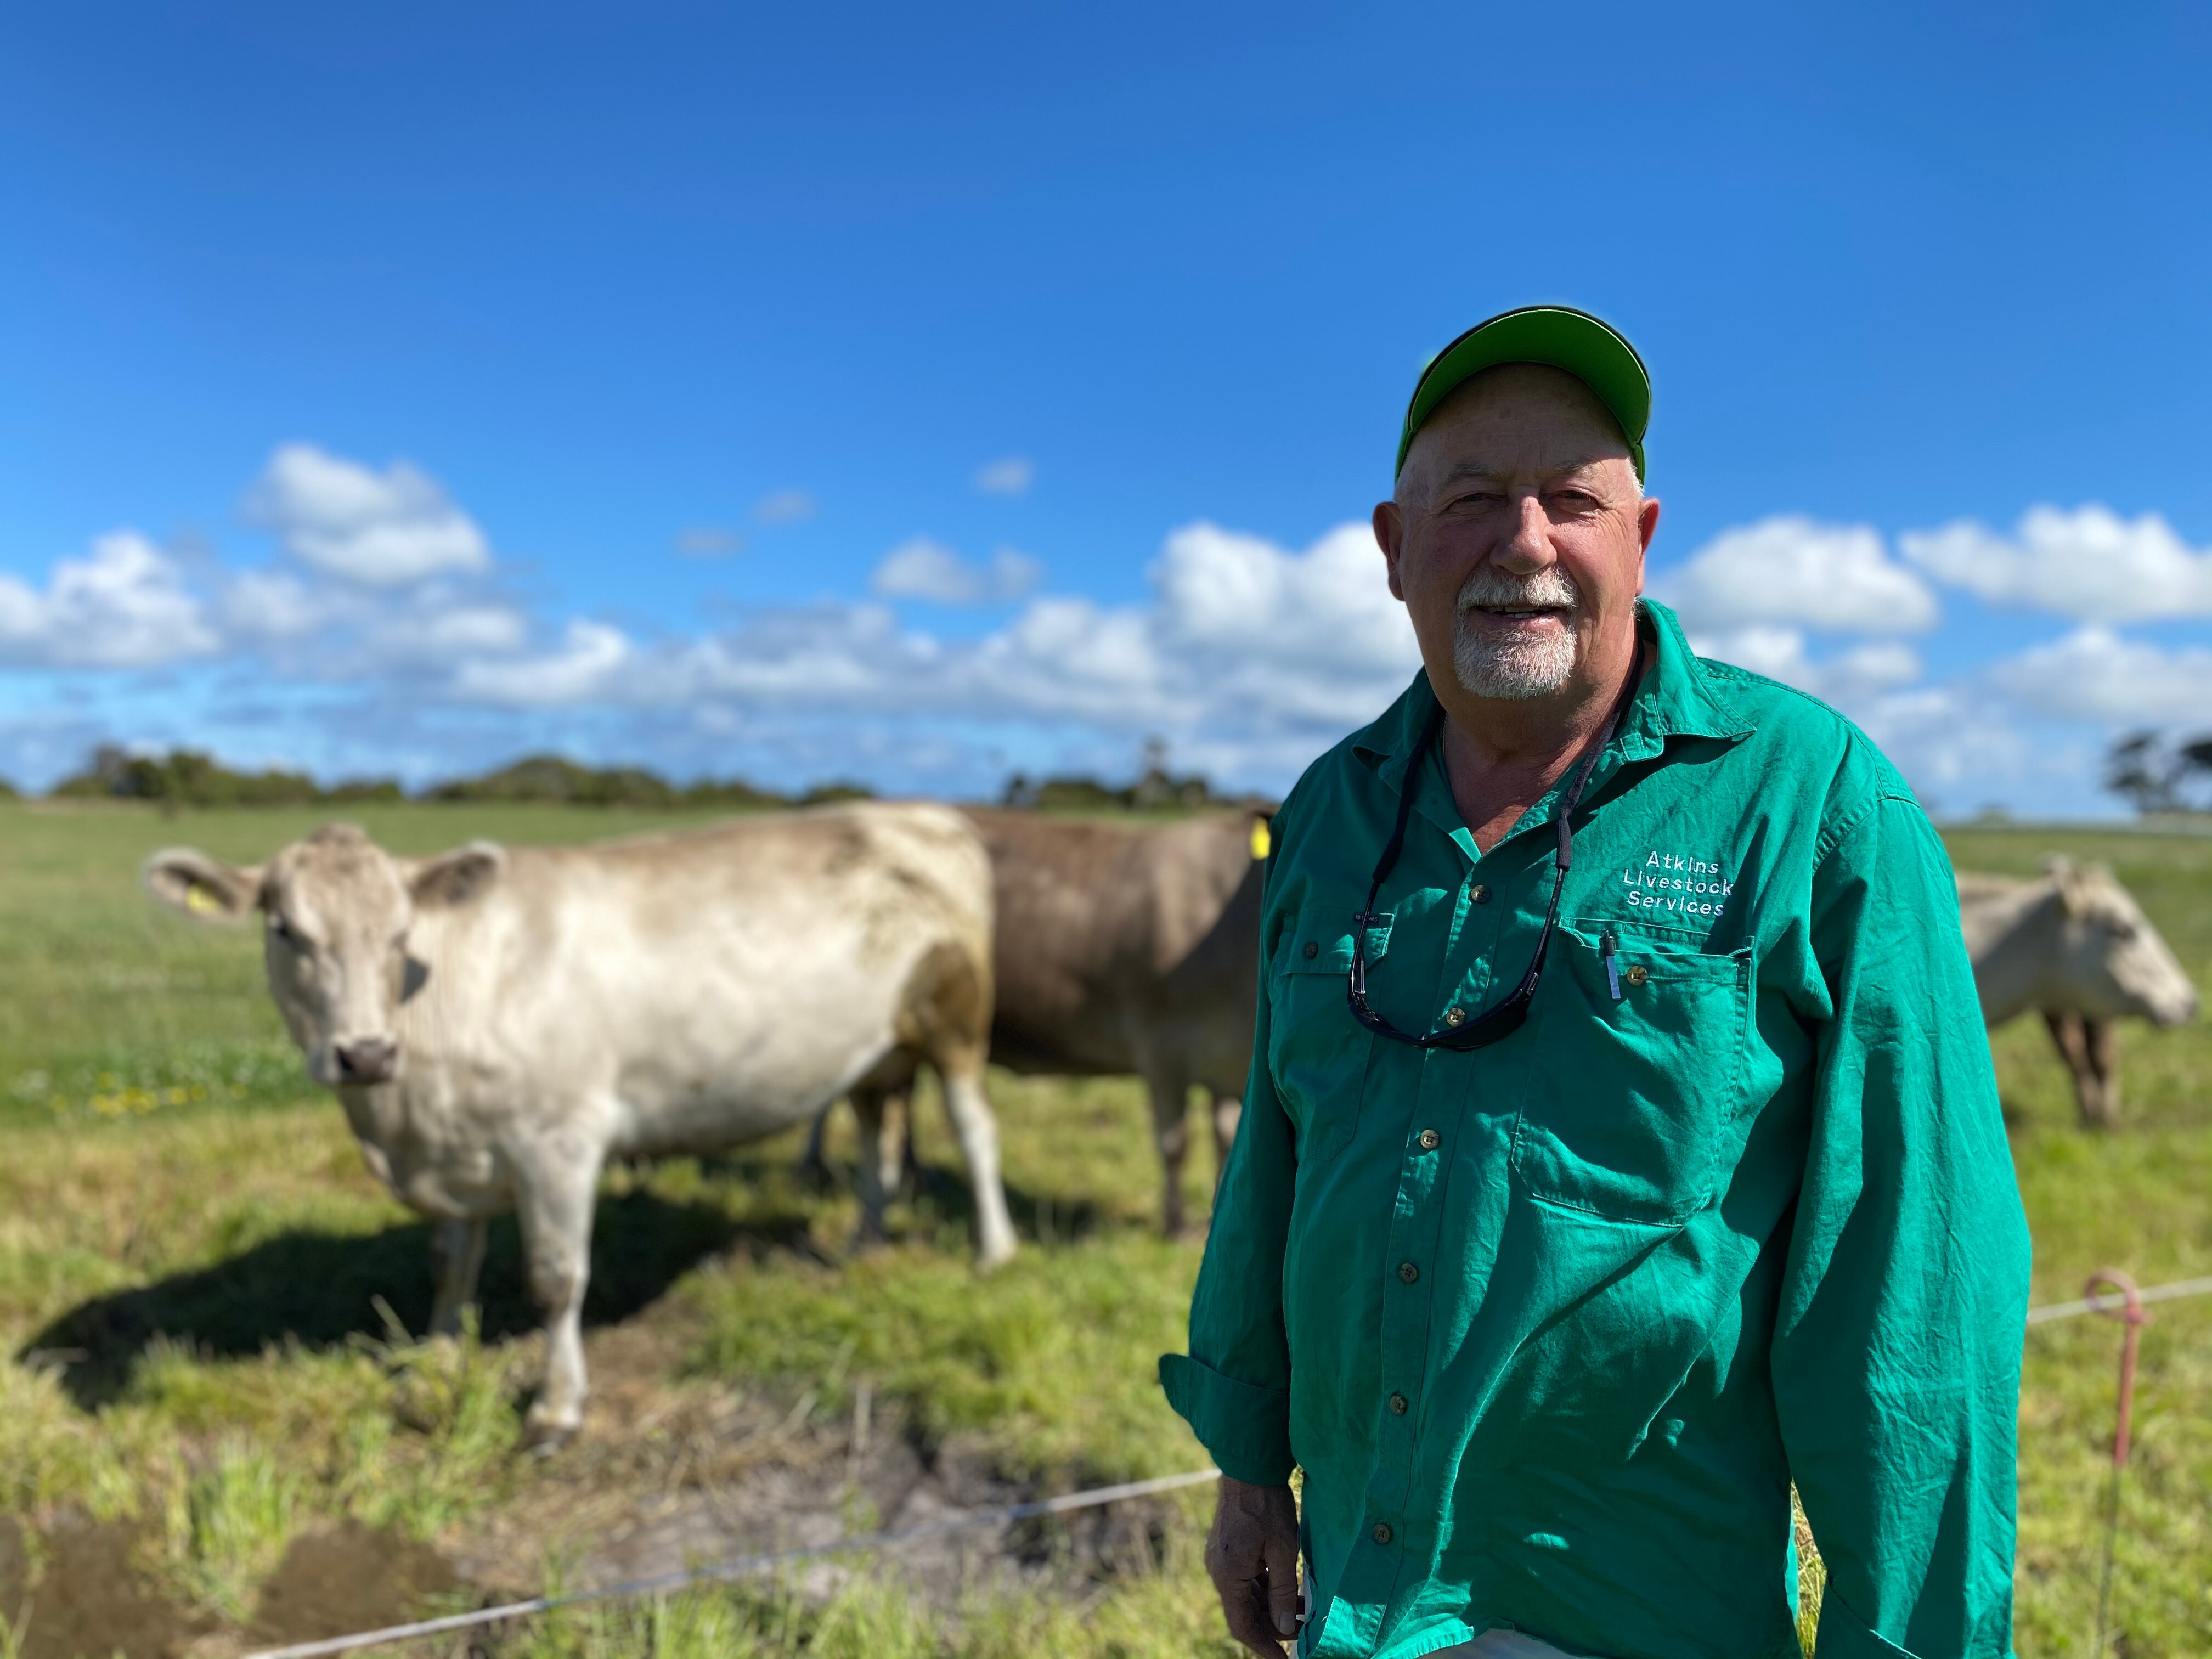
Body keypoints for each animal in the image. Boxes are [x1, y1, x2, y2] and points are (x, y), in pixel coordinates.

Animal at [143, 805, 1017, 1443]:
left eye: (400, 935)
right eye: (285, 929)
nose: (362, 1053)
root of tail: (918, 814)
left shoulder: (557, 1139)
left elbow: (555, 1279)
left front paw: (555, 1409)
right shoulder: (456, 1152)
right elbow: (449, 1265)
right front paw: (437, 1363)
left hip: (955, 1018)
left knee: (975, 1131)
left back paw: (995, 1252)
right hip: (876, 1043)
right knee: (874, 1129)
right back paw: (863, 1244)